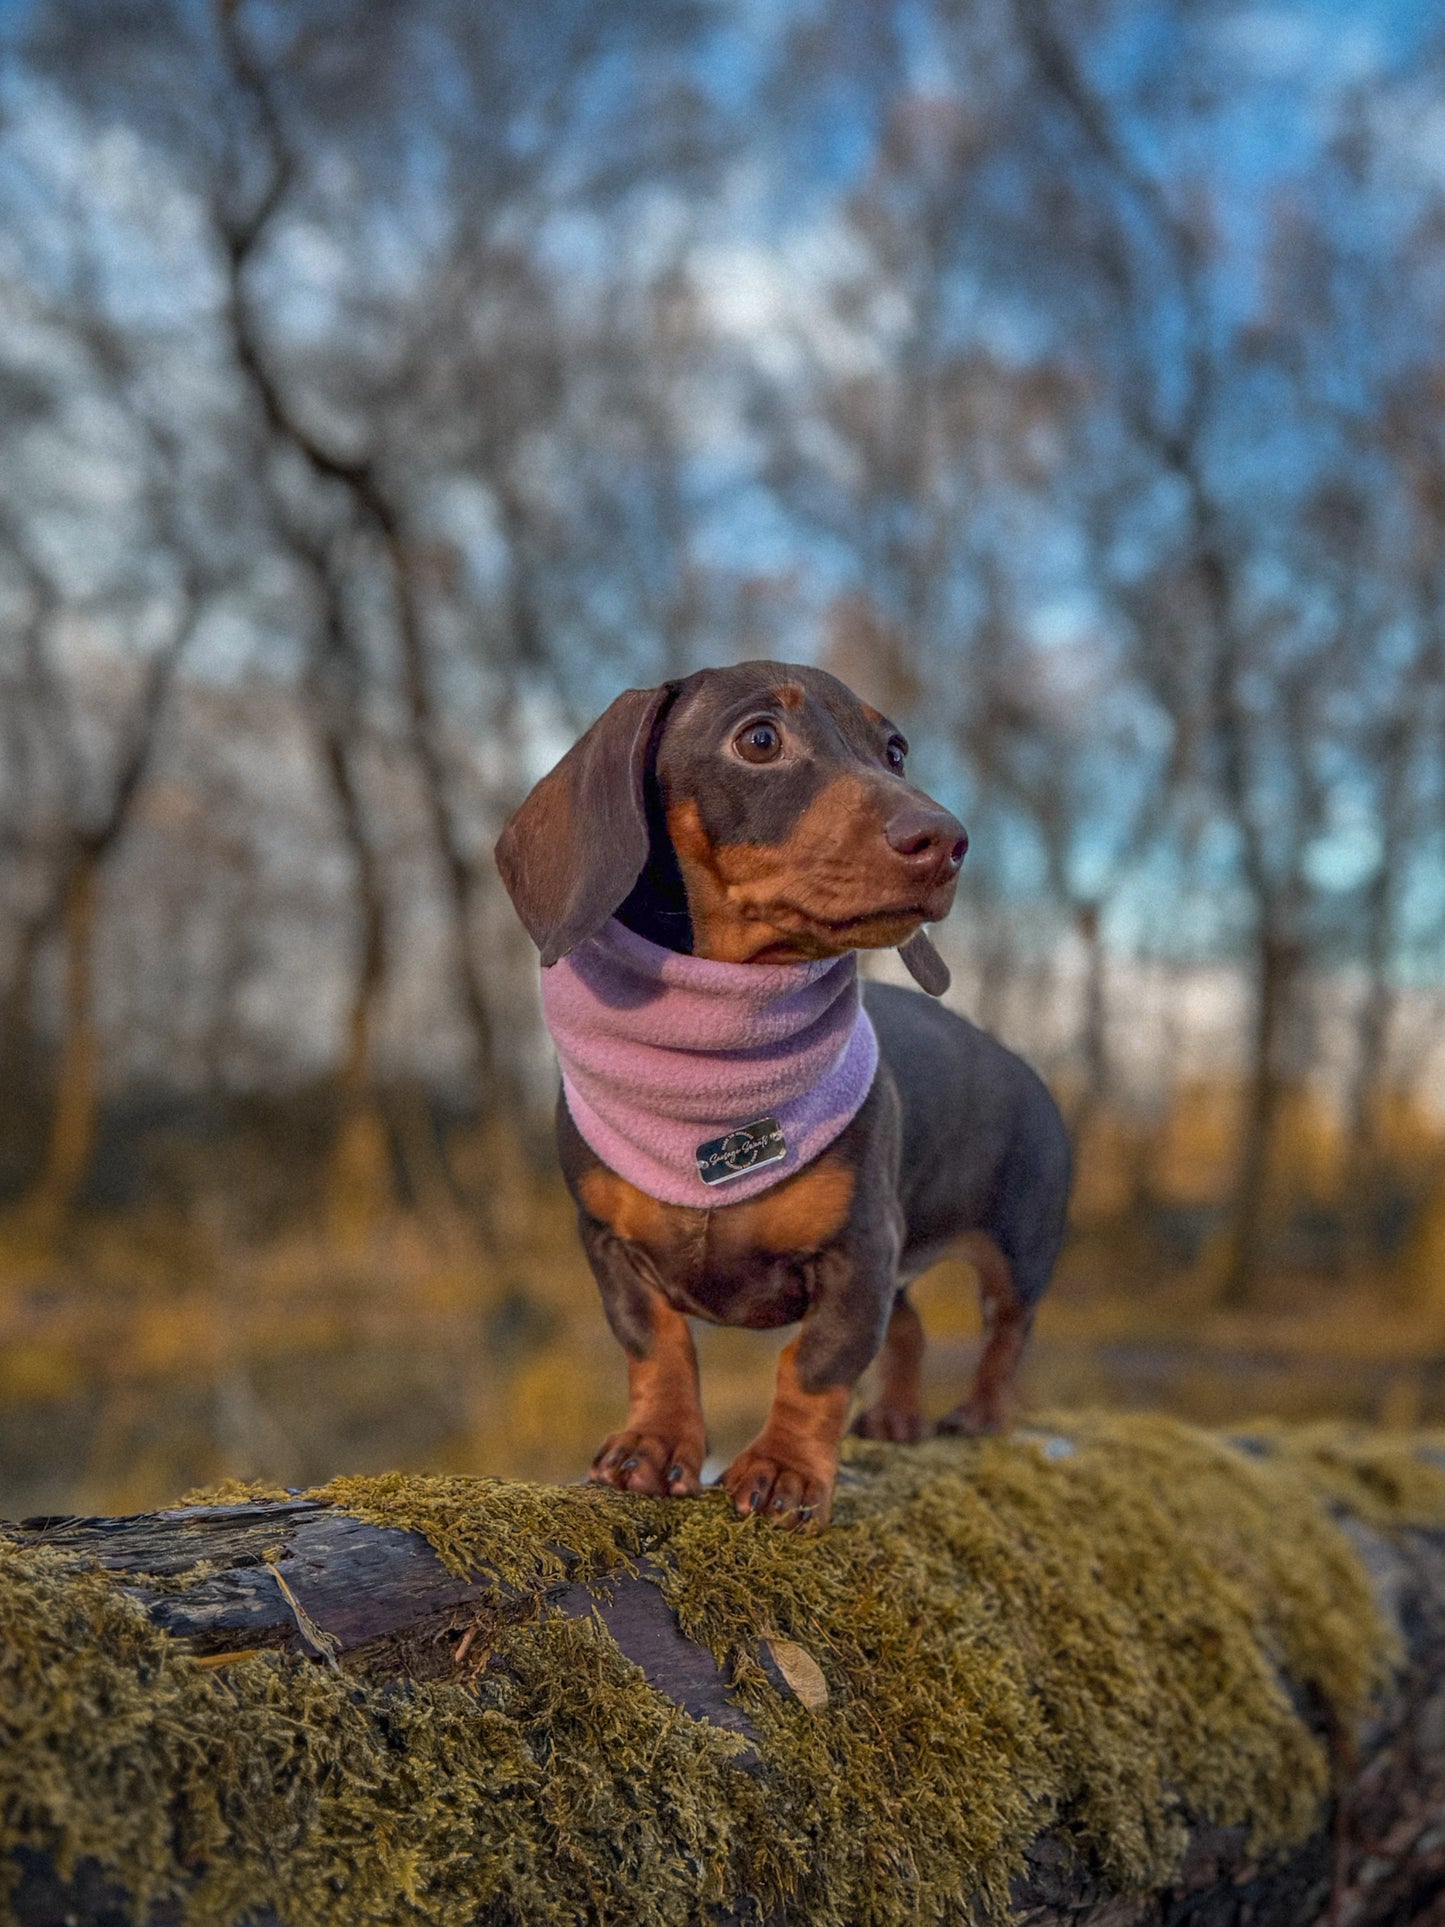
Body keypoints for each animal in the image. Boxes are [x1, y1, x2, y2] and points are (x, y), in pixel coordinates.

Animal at [497, 666, 1078, 1533]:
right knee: (910, 1328)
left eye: (893, 749)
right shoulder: (605, 1242)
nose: (947, 841)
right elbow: (655, 1341)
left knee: (1008, 1331)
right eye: (760, 738)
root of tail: (1023, 1066)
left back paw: (979, 1413)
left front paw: (784, 1470)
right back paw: (895, 1417)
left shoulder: (860, 1250)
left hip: (1016, 1246)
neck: (713, 1075)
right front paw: (653, 1443)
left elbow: (815, 1362)